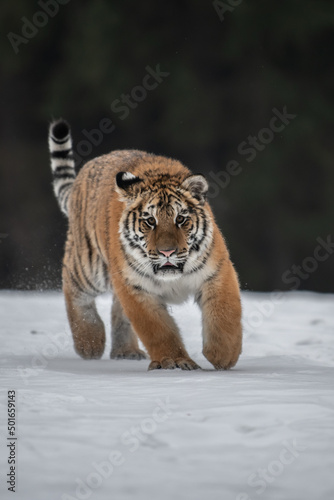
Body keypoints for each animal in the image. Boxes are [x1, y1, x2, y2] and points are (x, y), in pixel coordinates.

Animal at [48, 119, 241, 372]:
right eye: (150, 221)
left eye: (181, 219)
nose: (167, 252)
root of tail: (90, 166)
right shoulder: (136, 288)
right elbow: (158, 330)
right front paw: (175, 361)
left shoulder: (216, 273)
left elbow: (224, 316)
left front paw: (223, 356)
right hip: (89, 266)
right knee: (72, 286)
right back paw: (89, 342)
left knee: (116, 309)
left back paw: (125, 351)